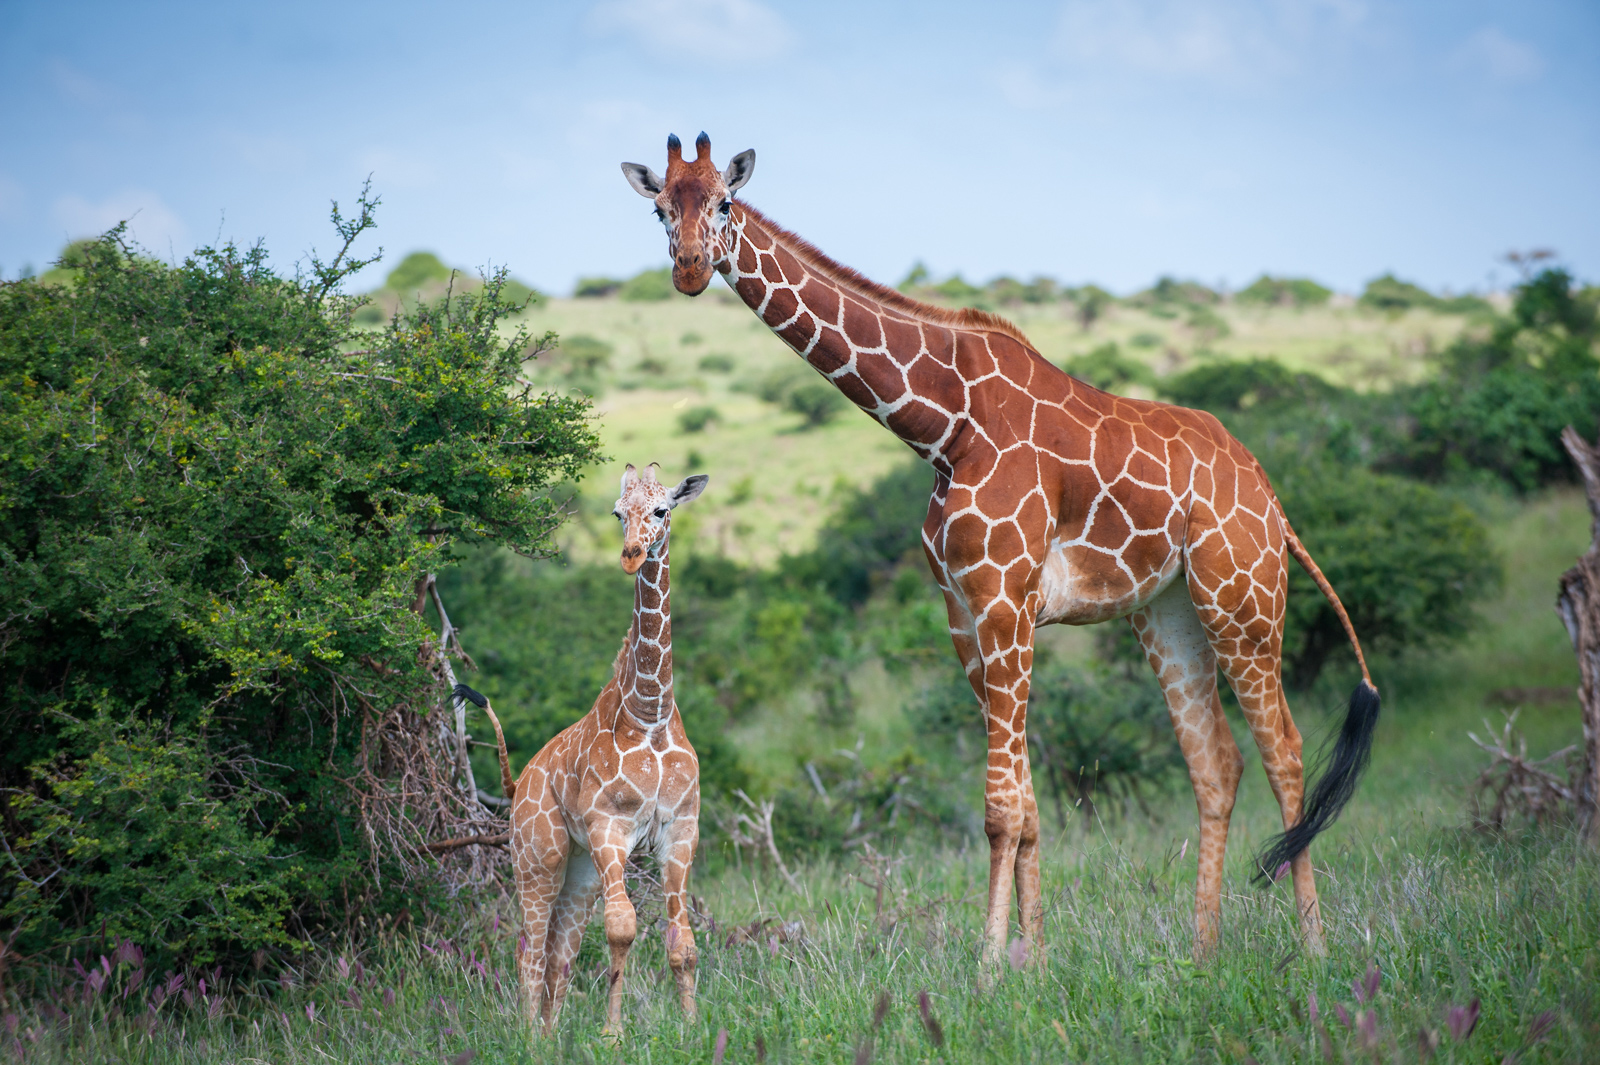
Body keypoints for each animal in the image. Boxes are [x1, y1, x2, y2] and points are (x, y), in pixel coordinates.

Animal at [464, 460, 713, 1029]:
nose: (631, 555)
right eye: (617, 513)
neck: (650, 715)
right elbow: (622, 928)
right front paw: (612, 1035)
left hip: (577, 868)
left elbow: (683, 944)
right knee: (530, 948)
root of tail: (518, 782)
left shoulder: (680, 829)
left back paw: (552, 1035)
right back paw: (530, 1037)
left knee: (561, 950)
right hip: (538, 856)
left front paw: (693, 1028)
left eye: (662, 509)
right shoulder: (609, 827)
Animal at [617, 132, 1382, 972]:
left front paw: (988, 964)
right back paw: (1202, 949)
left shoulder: (1004, 598)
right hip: (1168, 609)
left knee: (1286, 751)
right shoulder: (963, 611)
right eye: (660, 209)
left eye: (725, 202)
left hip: (1242, 596)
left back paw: (1314, 945)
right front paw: (1035, 958)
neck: (942, 425)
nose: (690, 267)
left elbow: (1000, 808)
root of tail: (1269, 492)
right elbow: (1027, 802)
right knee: (1216, 763)